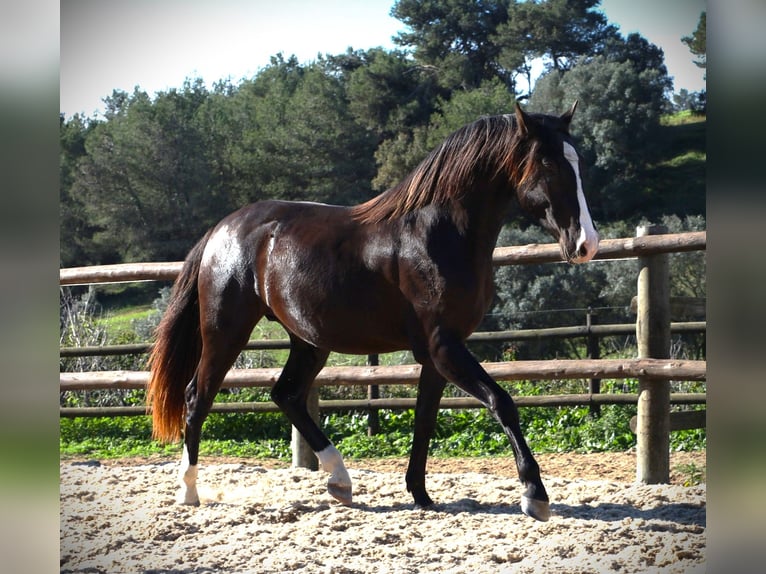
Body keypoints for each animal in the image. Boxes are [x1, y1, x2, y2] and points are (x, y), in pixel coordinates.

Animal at [146, 102, 600, 520]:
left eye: (579, 164)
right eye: (549, 164)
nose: (586, 244)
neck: (438, 234)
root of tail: (221, 229)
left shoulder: (436, 354)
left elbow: (424, 419)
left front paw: (421, 495)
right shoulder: (444, 347)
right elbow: (502, 402)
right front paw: (534, 495)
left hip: (309, 341)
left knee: (285, 394)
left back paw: (340, 481)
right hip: (225, 332)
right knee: (197, 396)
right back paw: (188, 492)